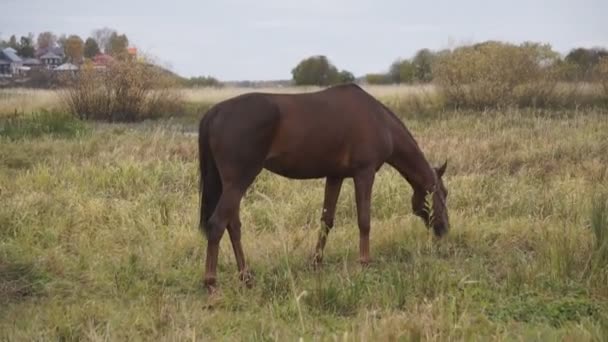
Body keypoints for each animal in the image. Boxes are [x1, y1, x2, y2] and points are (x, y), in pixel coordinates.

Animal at [198, 83, 446, 292]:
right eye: (443, 195)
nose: (444, 229)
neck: (379, 121)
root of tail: (215, 112)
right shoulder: (364, 174)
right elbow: (364, 220)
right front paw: (365, 263)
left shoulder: (335, 176)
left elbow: (327, 220)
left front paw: (316, 262)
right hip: (238, 182)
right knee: (218, 224)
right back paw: (211, 283)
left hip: (231, 185)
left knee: (233, 226)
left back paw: (246, 277)